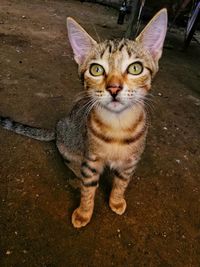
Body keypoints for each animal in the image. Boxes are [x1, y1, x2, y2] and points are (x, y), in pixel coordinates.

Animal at [0, 9, 167, 229]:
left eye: (135, 68)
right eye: (96, 69)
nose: (114, 88)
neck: (118, 127)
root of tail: (58, 127)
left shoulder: (130, 163)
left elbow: (121, 183)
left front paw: (116, 201)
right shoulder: (91, 160)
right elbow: (88, 190)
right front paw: (83, 213)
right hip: (69, 143)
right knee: (69, 160)